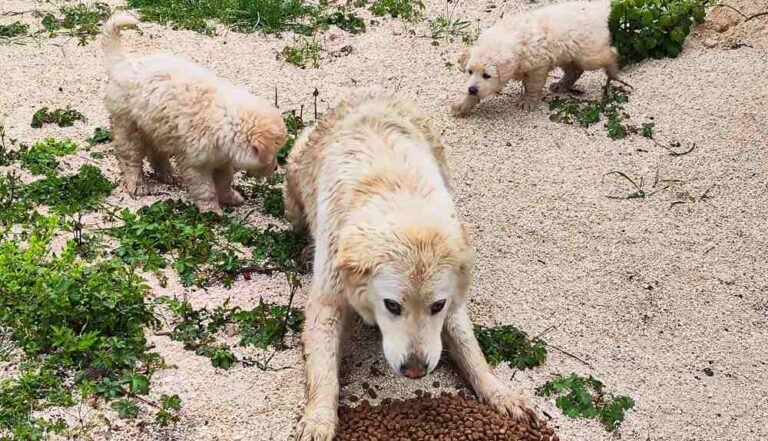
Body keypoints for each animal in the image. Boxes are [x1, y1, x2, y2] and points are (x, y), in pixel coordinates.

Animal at [99, 12, 284, 212]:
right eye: (272, 153)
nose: (276, 167)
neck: (228, 121)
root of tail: (123, 63)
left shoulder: (222, 161)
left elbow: (224, 182)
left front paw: (231, 198)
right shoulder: (196, 165)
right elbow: (206, 190)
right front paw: (212, 212)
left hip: (158, 129)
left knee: (157, 154)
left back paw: (168, 175)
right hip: (128, 127)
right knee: (130, 159)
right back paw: (138, 185)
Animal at [284, 87, 536, 438]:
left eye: (437, 306)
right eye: (391, 305)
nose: (415, 371)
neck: (398, 197)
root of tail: (367, 91)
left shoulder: (452, 302)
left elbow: (470, 349)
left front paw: (499, 392)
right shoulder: (328, 296)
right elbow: (323, 366)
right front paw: (318, 419)